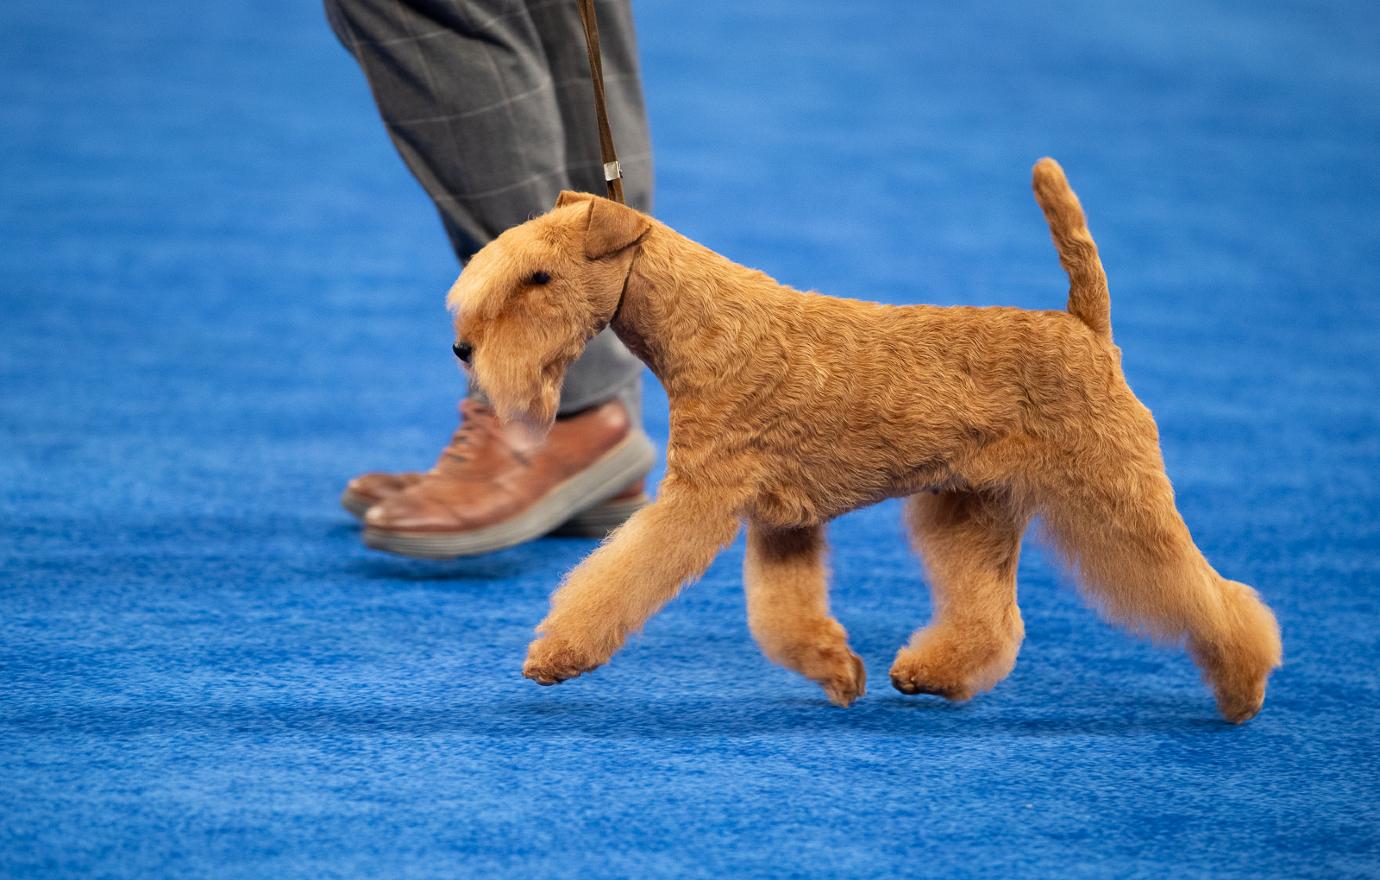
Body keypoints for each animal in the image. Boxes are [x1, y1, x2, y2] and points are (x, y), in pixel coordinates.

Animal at [444, 158, 1280, 722]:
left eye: (540, 277)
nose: (463, 348)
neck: (704, 327)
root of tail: (1085, 326)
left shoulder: (699, 498)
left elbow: (618, 577)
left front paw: (555, 655)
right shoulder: (781, 520)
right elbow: (784, 617)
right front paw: (841, 673)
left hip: (1115, 496)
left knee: (1209, 594)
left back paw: (1242, 687)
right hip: (970, 509)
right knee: (995, 618)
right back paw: (931, 675)